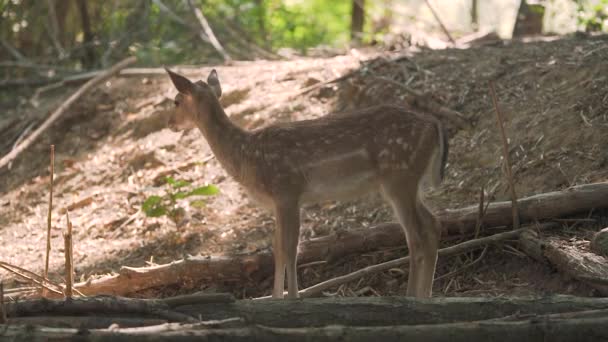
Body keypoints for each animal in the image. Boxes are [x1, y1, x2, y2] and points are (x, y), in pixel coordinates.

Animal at [164, 68, 448, 298]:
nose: (170, 124)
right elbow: (277, 249)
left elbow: (290, 249)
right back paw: (426, 295)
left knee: (416, 236)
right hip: (410, 182)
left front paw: (292, 298)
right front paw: (276, 298)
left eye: (176, 101)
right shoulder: (279, 202)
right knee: (432, 223)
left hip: (398, 176)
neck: (247, 157)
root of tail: (433, 125)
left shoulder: (287, 191)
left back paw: (411, 296)